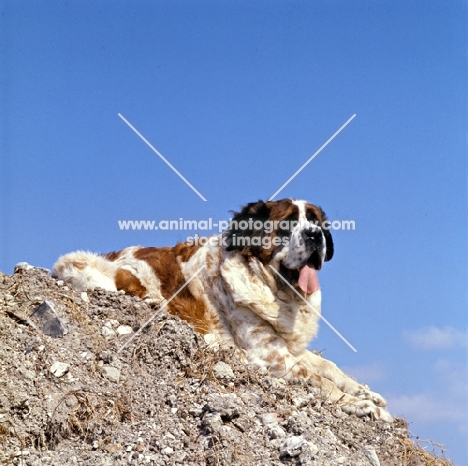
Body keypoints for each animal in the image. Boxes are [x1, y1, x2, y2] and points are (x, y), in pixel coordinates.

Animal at [53, 198, 394, 424]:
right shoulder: (270, 355)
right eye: (288, 224)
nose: (315, 235)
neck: (275, 290)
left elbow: (329, 367)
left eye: (316, 222)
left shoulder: (288, 347)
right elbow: (318, 380)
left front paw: (366, 393)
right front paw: (362, 405)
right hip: (97, 269)